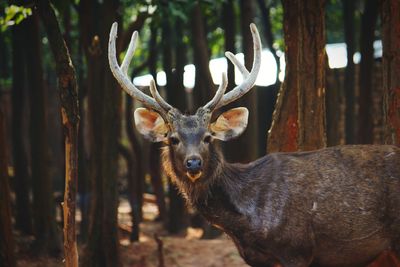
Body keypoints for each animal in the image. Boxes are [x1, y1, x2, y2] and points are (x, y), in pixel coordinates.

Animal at [108, 23, 400, 267]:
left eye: (208, 137)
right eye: (173, 138)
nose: (193, 162)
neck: (246, 225)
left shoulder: (297, 248)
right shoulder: (257, 259)